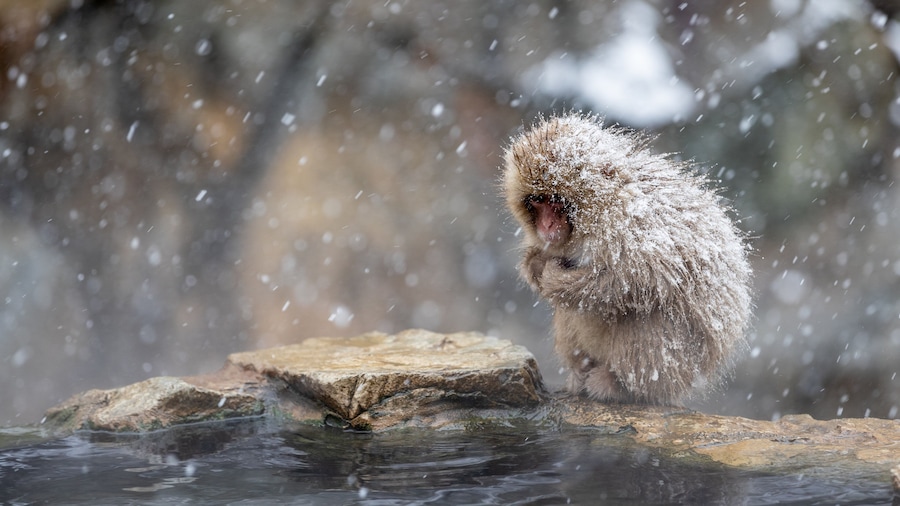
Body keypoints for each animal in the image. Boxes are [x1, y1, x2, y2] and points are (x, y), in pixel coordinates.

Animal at [502, 113, 752, 405]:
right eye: (537, 201)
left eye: (555, 201)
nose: (546, 225)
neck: (603, 203)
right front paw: (536, 265)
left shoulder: (628, 222)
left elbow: (642, 277)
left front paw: (554, 279)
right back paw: (581, 371)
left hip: (682, 365)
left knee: (646, 314)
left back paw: (620, 386)